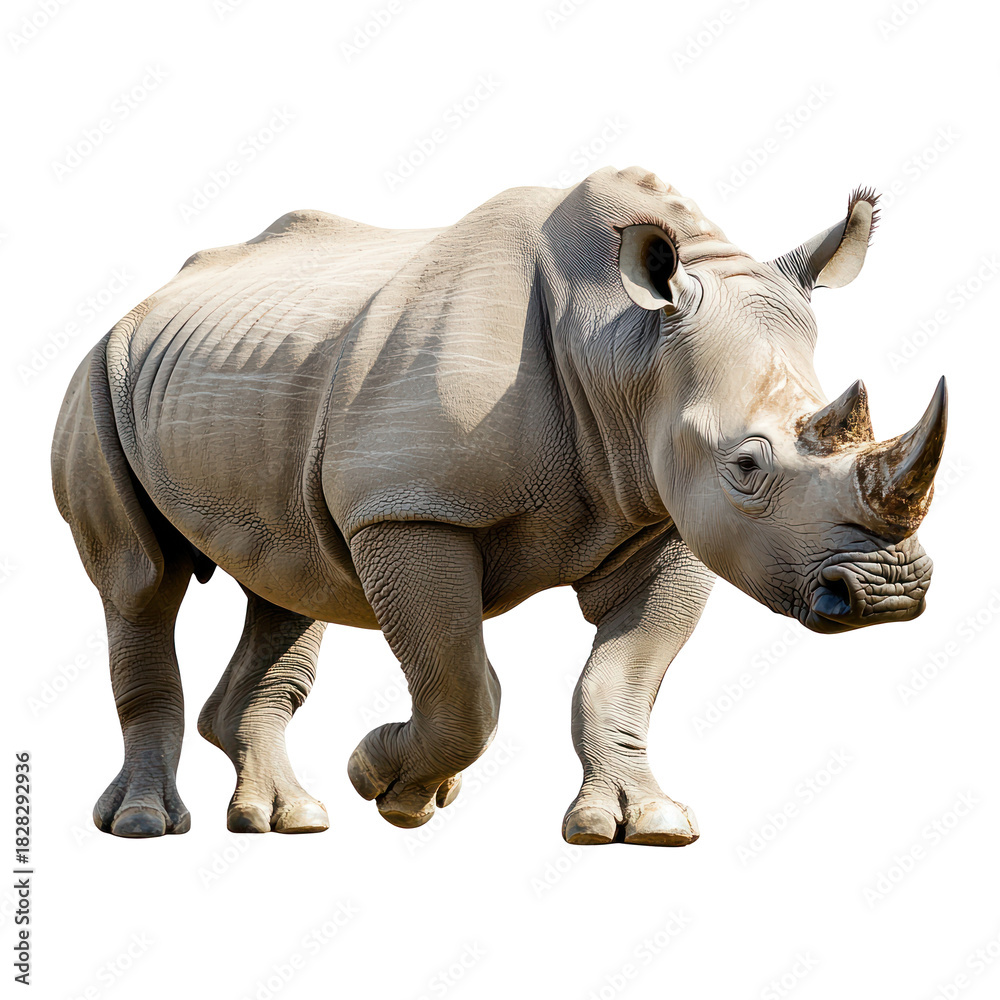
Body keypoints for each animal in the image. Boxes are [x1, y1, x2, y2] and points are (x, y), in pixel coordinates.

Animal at [51, 166, 946, 845]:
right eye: (748, 465)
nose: (889, 593)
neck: (625, 347)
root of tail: (151, 296)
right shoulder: (410, 508)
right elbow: (464, 691)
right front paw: (385, 779)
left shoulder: (665, 517)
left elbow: (618, 679)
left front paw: (647, 825)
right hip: (100, 371)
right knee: (140, 583)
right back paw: (145, 826)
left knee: (289, 582)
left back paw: (289, 820)